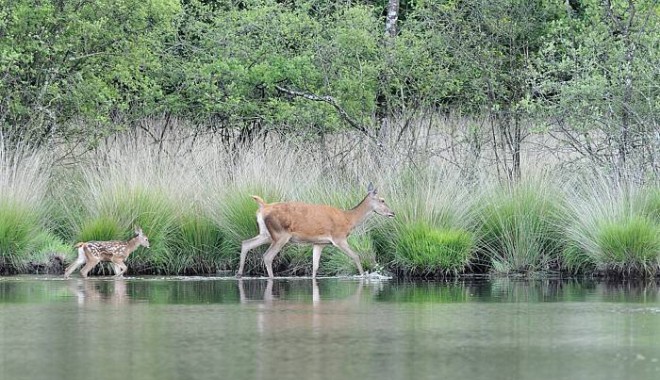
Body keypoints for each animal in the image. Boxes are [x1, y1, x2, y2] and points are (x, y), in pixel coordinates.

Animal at [237, 183, 392, 278]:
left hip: (266, 234)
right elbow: (356, 256)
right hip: (280, 234)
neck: (348, 219)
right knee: (267, 256)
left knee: (246, 243)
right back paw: (271, 278)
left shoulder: (319, 243)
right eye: (382, 200)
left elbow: (315, 266)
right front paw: (363, 276)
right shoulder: (339, 237)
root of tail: (263, 207)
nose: (392, 213)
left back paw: (239, 274)